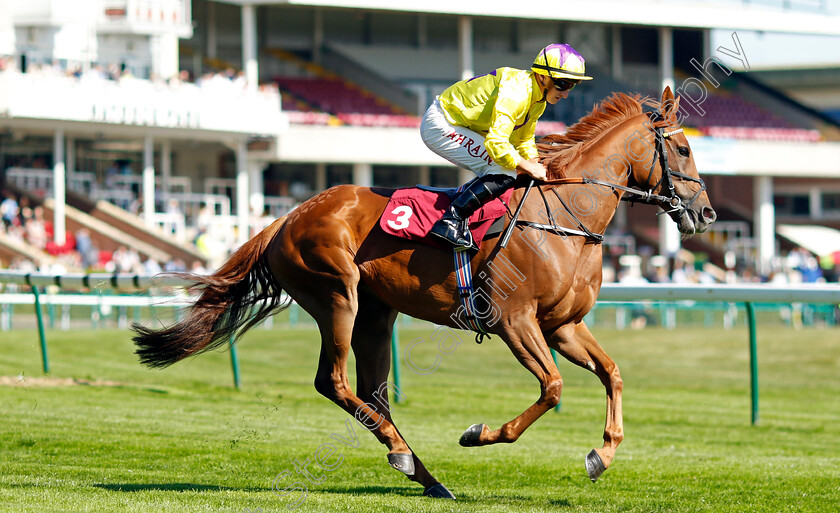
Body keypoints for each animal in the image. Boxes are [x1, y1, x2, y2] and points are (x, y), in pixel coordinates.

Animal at [131, 86, 716, 498]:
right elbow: (551, 389)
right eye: (684, 148)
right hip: (337, 296)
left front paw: (602, 455)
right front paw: (479, 433)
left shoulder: (563, 325)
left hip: (376, 313)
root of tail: (287, 218)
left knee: (371, 393)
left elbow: (612, 374)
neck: (565, 220)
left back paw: (423, 472)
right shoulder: (514, 320)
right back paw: (407, 457)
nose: (707, 213)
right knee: (333, 381)